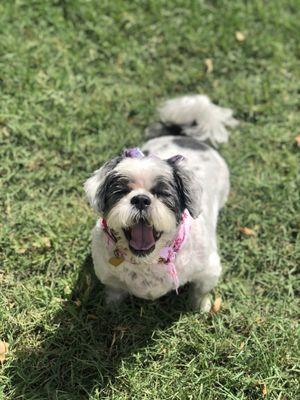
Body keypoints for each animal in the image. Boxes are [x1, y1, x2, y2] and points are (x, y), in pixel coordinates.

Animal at [84, 95, 237, 310]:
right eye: (121, 192)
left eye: (162, 193)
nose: (141, 199)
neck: (149, 262)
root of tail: (185, 136)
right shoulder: (107, 273)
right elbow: (115, 290)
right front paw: (113, 307)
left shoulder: (209, 269)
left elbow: (200, 291)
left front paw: (200, 306)